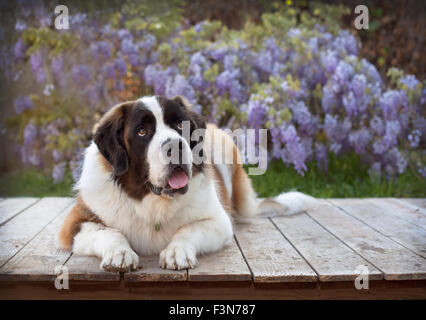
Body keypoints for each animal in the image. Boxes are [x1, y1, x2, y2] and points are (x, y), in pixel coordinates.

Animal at [58, 95, 314, 272]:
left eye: (180, 126)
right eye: (142, 131)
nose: (175, 145)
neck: (152, 200)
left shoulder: (219, 221)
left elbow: (188, 229)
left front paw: (176, 251)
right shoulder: (75, 222)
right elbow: (109, 231)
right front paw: (120, 254)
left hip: (223, 143)